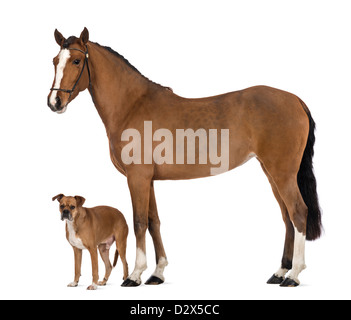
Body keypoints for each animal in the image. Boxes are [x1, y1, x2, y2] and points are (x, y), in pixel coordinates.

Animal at [48, 27, 324, 288]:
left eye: (76, 61)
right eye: (54, 60)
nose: (55, 102)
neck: (132, 105)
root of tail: (295, 100)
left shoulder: (137, 177)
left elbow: (139, 222)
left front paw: (135, 275)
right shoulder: (148, 180)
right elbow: (153, 222)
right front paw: (157, 273)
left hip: (282, 172)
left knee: (298, 212)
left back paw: (294, 275)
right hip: (272, 172)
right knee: (287, 217)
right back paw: (280, 272)